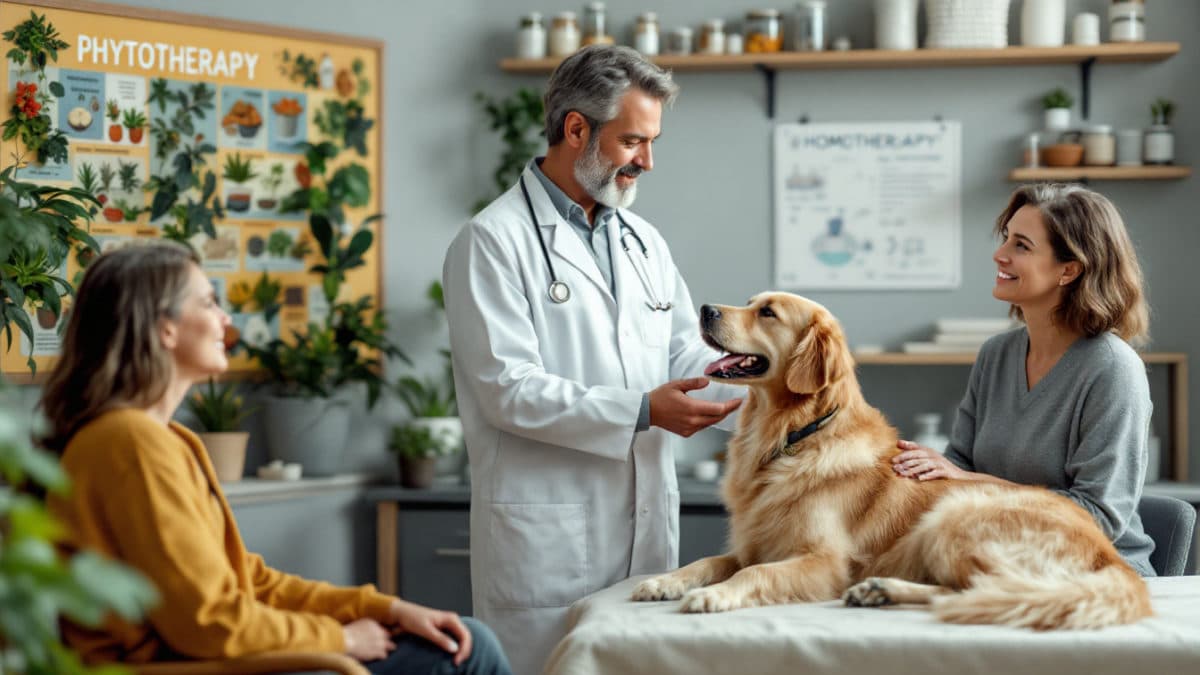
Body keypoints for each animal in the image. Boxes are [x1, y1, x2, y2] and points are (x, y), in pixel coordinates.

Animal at [633, 291, 1147, 629]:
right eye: (751, 302)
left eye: (768, 312)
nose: (704, 309)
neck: (793, 436)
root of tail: (1108, 555)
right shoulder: (753, 542)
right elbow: (708, 560)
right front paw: (664, 582)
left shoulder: (823, 561)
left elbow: (755, 573)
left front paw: (714, 595)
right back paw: (878, 590)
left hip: (955, 516)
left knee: (986, 589)